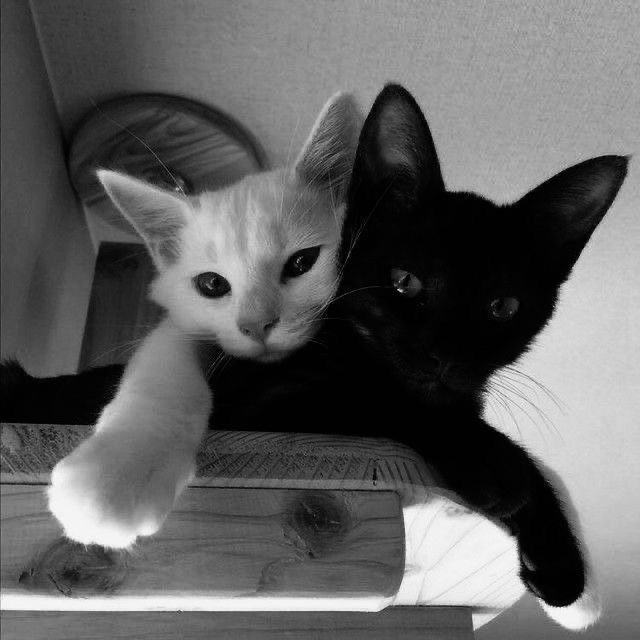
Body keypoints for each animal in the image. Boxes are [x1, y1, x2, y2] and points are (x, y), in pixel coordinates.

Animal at [47, 92, 362, 548]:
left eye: (303, 263)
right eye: (212, 284)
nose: (256, 326)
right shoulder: (183, 323)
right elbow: (164, 366)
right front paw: (116, 471)